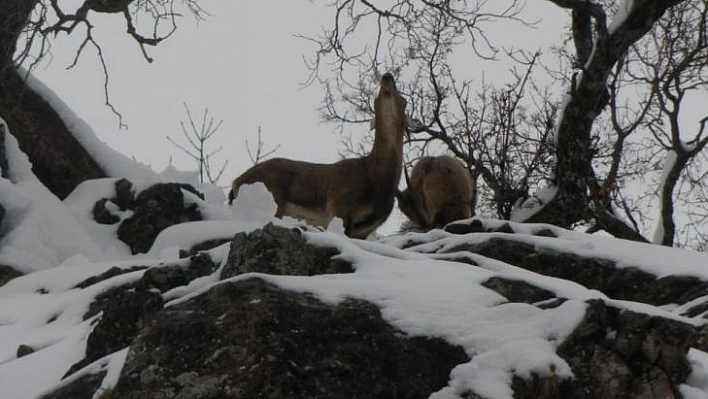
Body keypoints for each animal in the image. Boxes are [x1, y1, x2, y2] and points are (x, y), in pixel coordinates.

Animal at [231, 73, 406, 239]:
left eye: (404, 100)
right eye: (376, 97)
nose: (387, 76)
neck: (375, 177)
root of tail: (236, 182)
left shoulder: (364, 229)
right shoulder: (338, 204)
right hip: (273, 196)